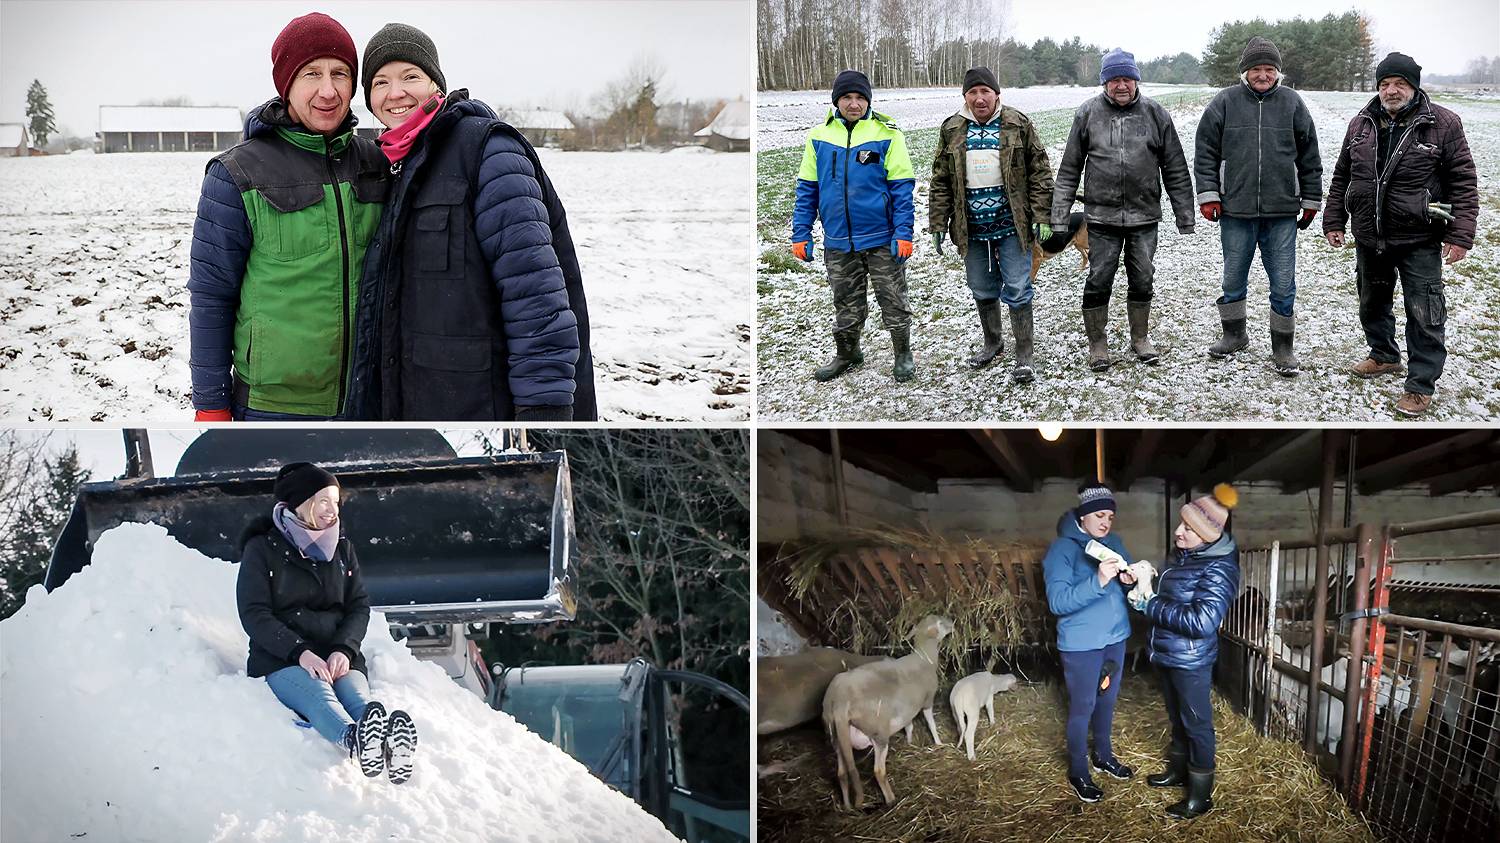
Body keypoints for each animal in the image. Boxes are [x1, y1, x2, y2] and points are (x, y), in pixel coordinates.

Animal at [822, 615, 948, 804]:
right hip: (878, 733)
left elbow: (909, 725)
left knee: (842, 774)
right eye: (940, 622)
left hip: (836, 737)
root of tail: (838, 702)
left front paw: (909, 741)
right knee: (878, 771)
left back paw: (847, 806)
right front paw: (939, 742)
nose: (953, 623)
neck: (924, 657)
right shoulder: (928, 699)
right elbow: (931, 723)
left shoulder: (906, 708)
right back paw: (891, 800)